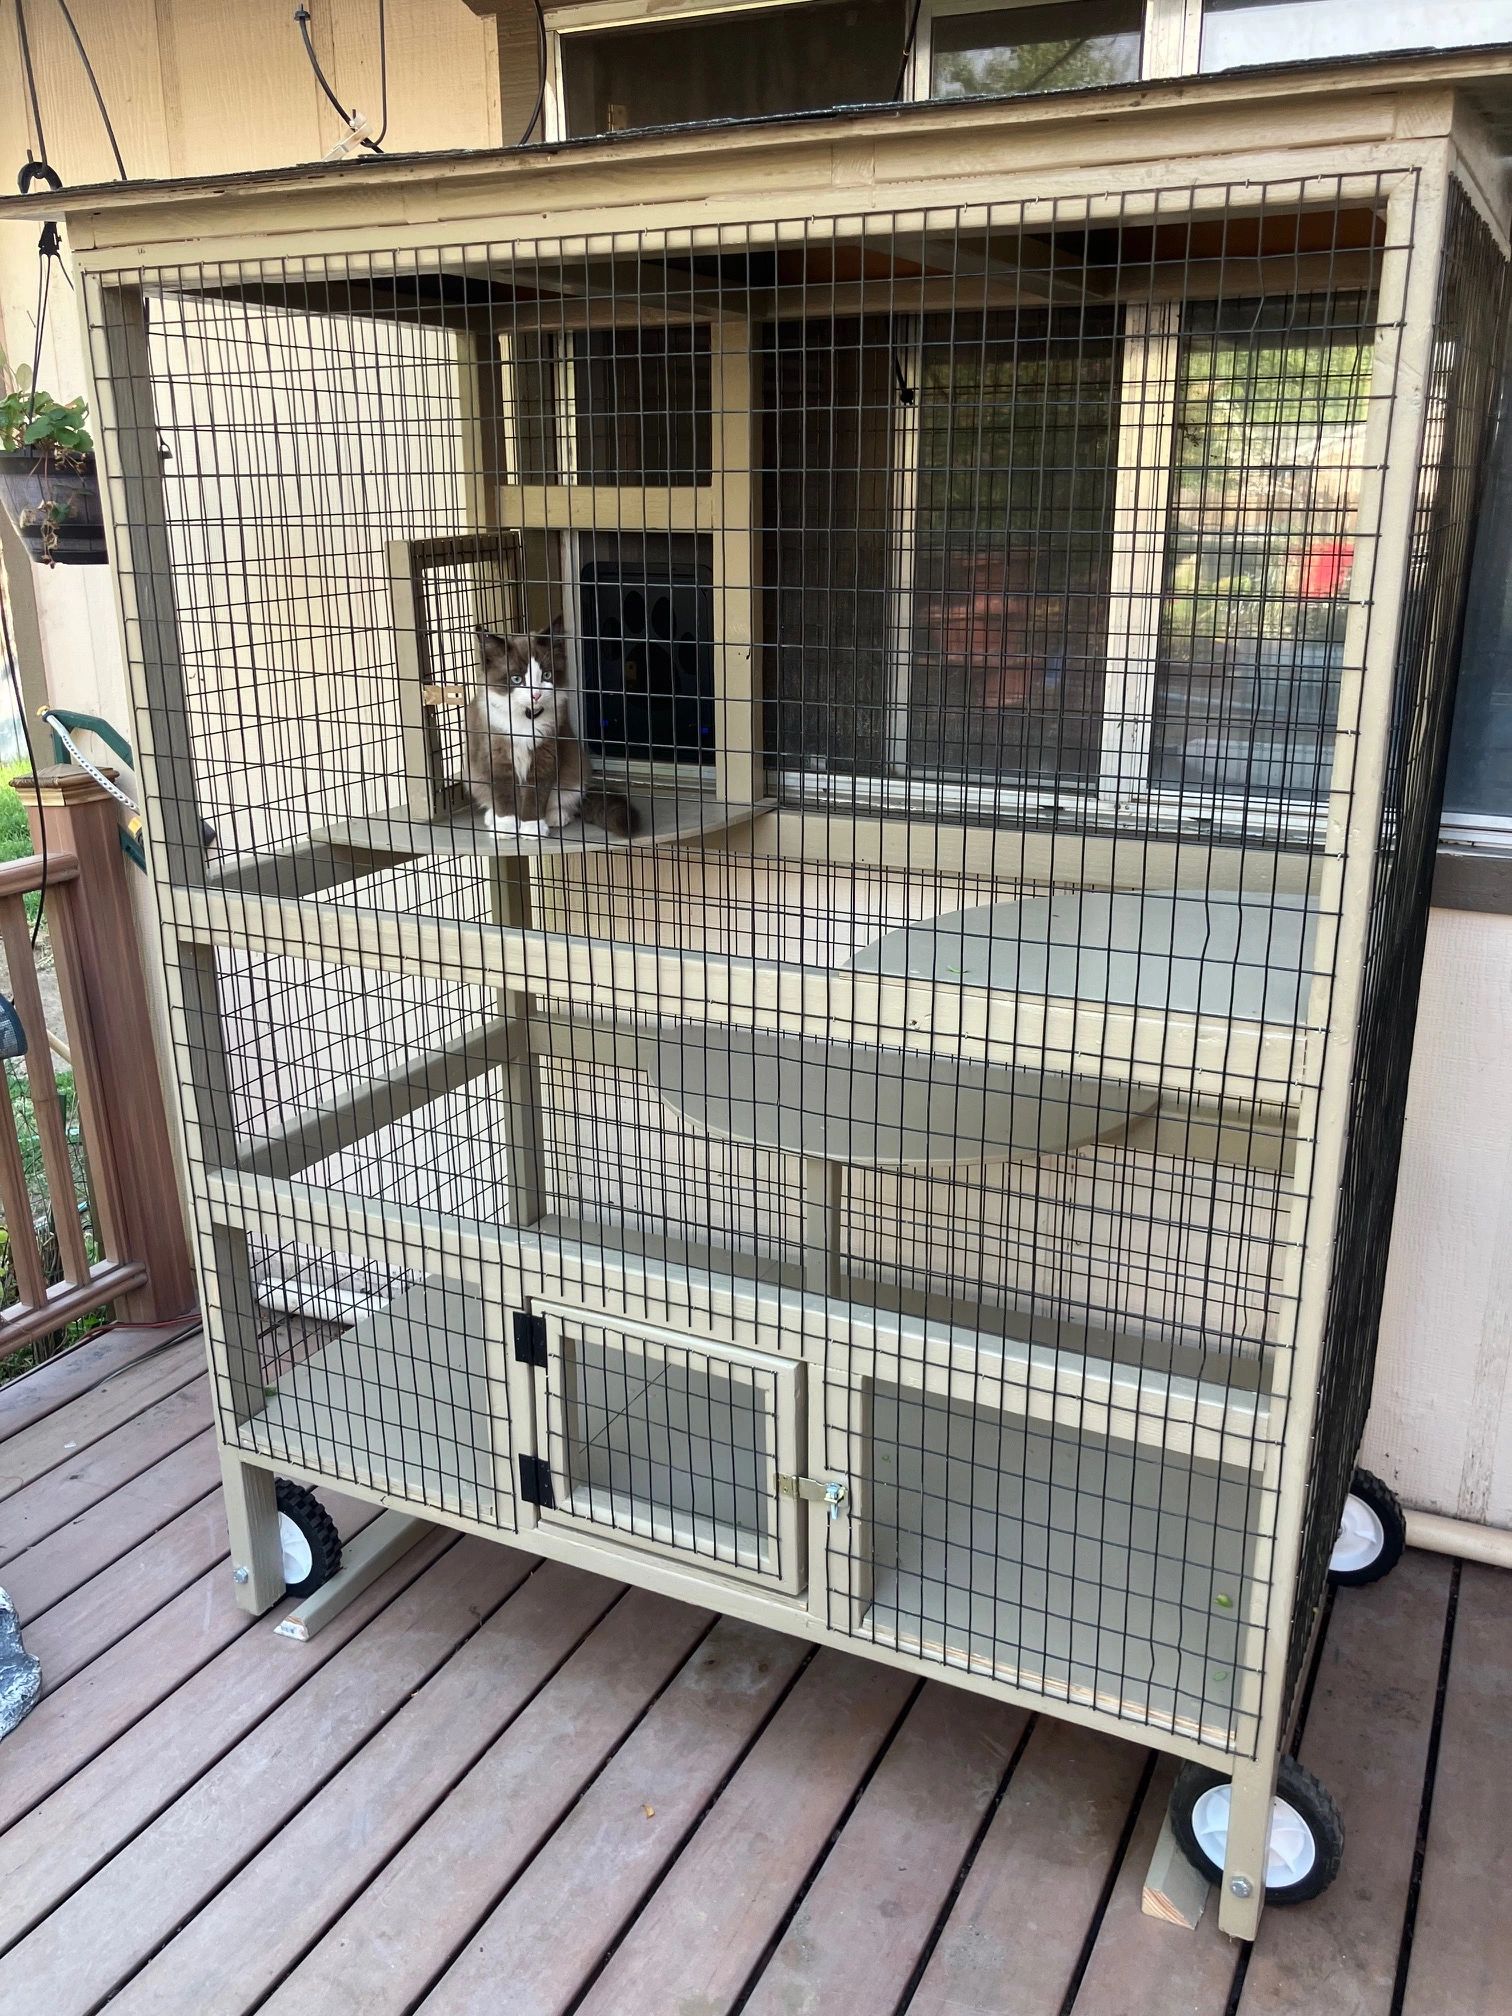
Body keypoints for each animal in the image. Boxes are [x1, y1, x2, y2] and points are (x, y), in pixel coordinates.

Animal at [465, 612, 637, 834]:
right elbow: (504, 795)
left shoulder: (546, 752)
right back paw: (492, 818)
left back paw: (556, 817)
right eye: (516, 679)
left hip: (575, 773)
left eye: (546, 675)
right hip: (473, 775)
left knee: (564, 802)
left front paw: (531, 828)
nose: (536, 695)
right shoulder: (497, 753)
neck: (525, 720)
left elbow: (535, 796)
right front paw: (506, 827)